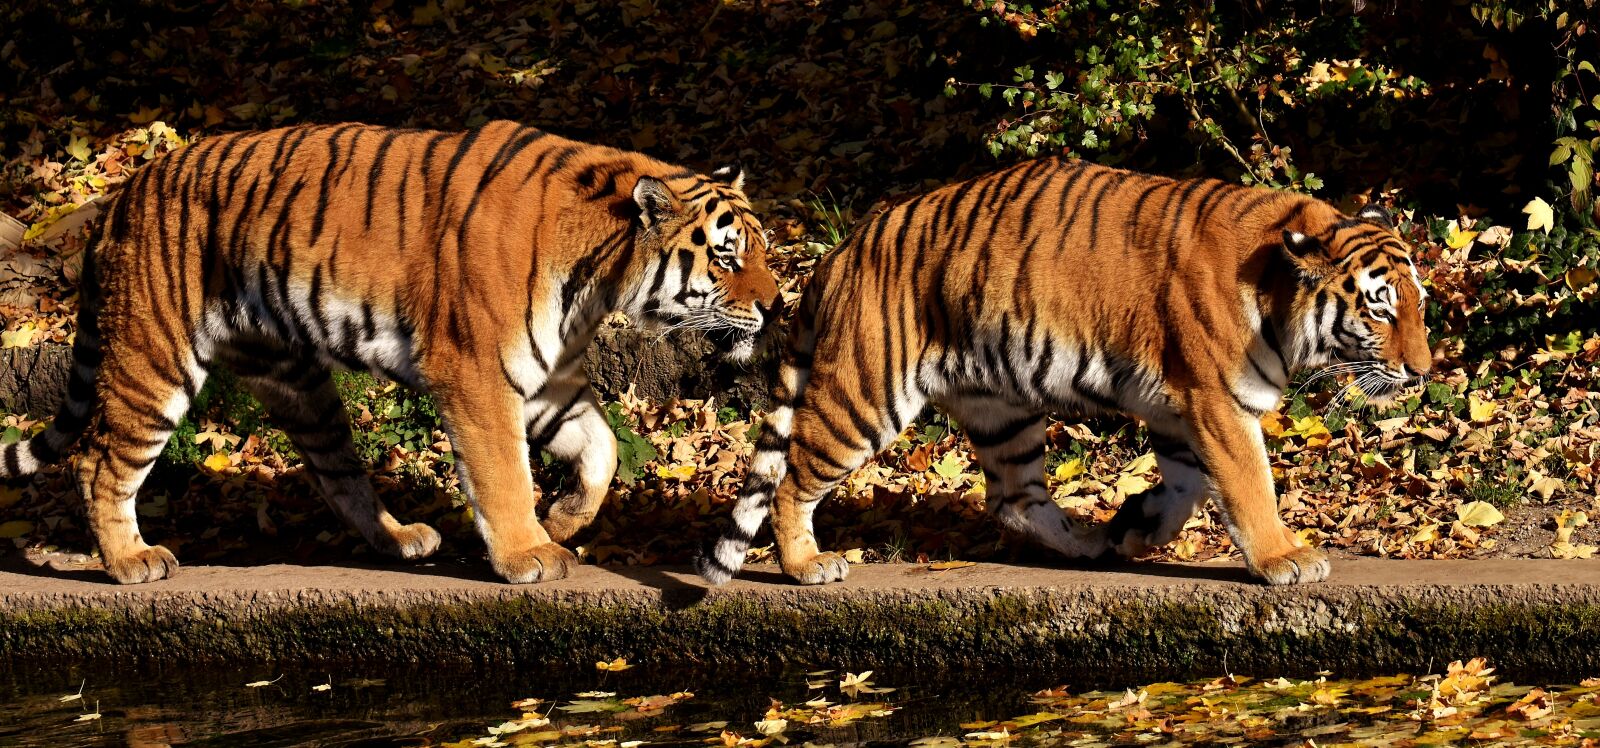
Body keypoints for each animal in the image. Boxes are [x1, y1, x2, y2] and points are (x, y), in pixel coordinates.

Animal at [1, 120, 780, 585]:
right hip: (154, 360)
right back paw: (131, 561)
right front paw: (527, 552)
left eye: (764, 249)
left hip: (298, 381)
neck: (598, 276)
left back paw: (403, 539)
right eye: (727, 256)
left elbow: (603, 449)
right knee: (99, 462)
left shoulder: (547, 379)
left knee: (337, 474)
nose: (777, 306)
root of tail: (122, 197)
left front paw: (562, 520)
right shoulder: (477, 373)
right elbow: (503, 473)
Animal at [697, 156, 1431, 587]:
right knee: (793, 477)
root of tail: (841, 251)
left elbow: (1189, 485)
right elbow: (1249, 485)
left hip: (1002, 410)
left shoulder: (1180, 407)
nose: (1423, 371)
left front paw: (1138, 525)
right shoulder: (1217, 401)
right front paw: (1284, 558)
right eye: (1381, 309)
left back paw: (1086, 541)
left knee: (1013, 498)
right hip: (865, 396)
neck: (1276, 286)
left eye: (1420, 305)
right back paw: (806, 565)